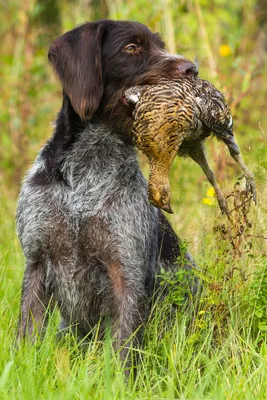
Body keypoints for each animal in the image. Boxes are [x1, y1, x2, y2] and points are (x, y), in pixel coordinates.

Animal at [15, 19, 198, 360]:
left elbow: (124, 349)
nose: (192, 68)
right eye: (132, 47)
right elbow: (27, 336)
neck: (87, 174)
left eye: (161, 45)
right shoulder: (35, 263)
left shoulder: (125, 271)